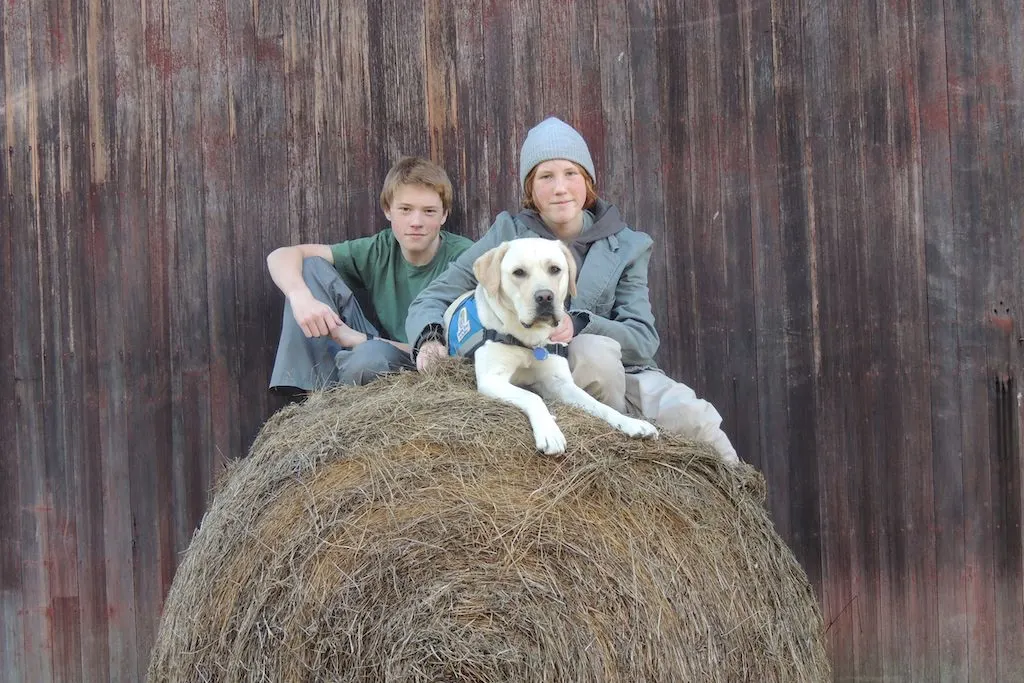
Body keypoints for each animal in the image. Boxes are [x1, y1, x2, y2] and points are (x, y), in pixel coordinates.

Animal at [444, 237, 659, 456]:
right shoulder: (492, 379)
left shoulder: (561, 383)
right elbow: (532, 397)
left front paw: (631, 422)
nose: (545, 297)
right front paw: (550, 432)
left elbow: (600, 406)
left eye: (555, 269)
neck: (530, 339)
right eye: (518, 272)